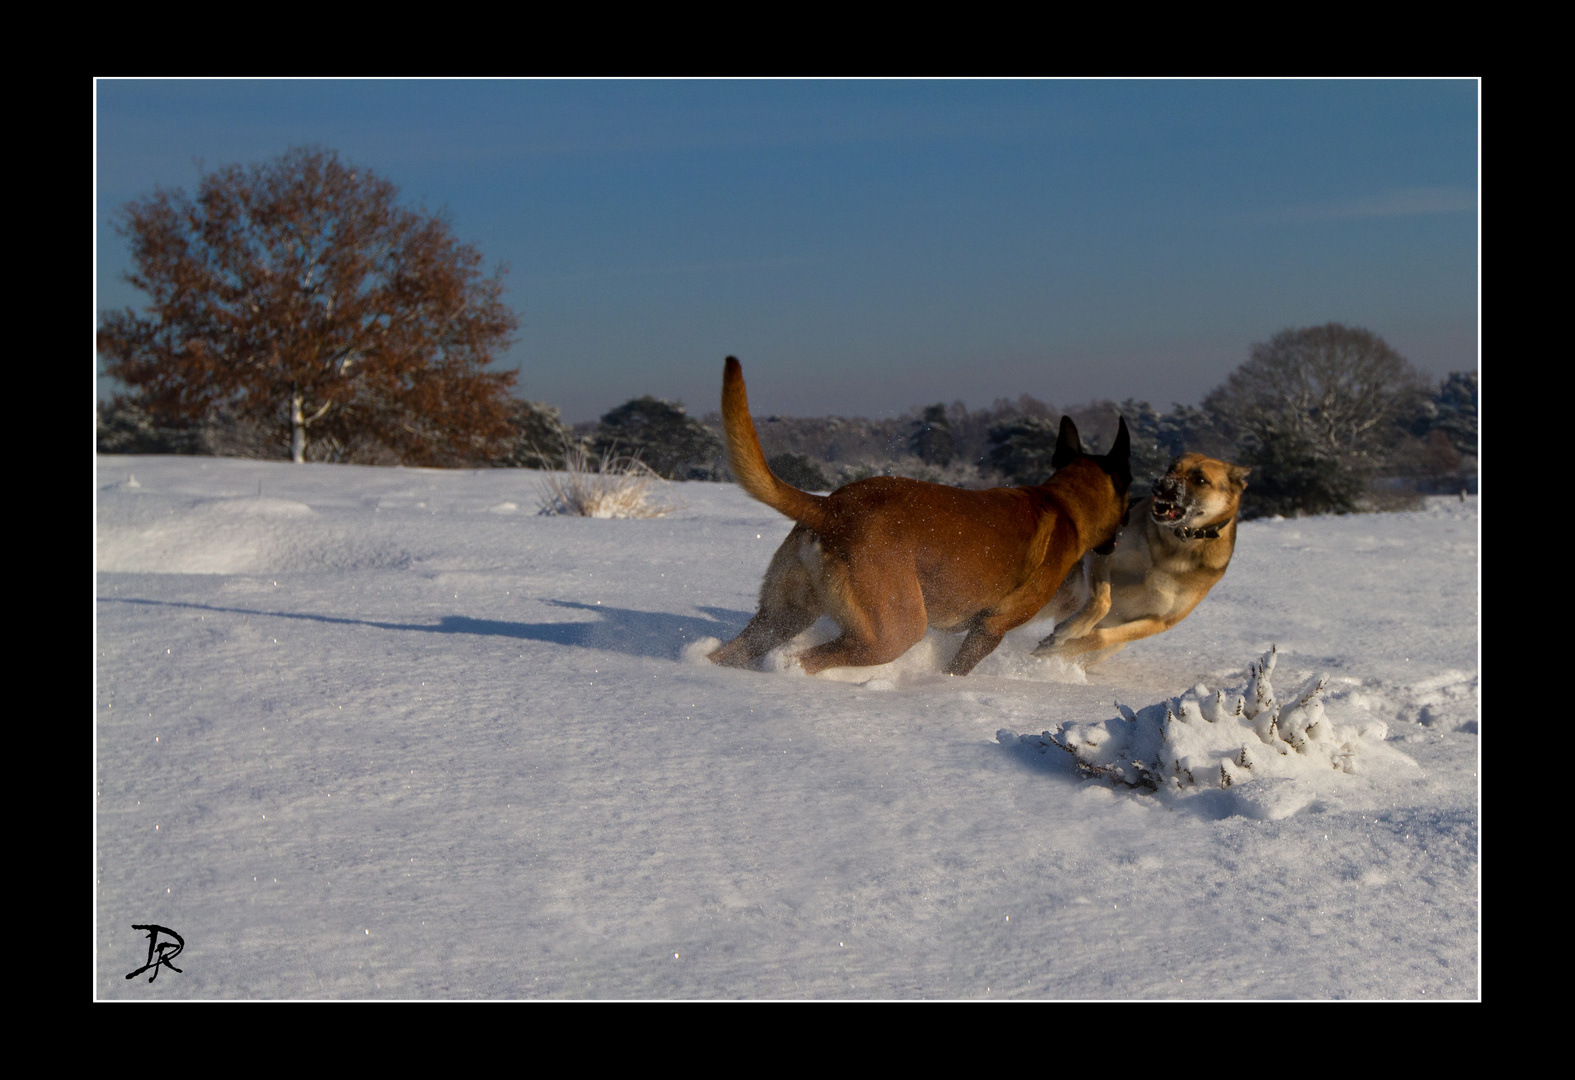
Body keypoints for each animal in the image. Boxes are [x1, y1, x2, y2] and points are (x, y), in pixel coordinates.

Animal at [711, 357, 1134, 676]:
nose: (1118, 542)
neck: (1065, 502)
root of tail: (831, 508)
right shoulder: (989, 628)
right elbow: (957, 668)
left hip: (782, 616)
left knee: (732, 652)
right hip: (893, 632)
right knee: (802, 661)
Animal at [1039, 450, 1247, 667]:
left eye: (1200, 480)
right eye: (1172, 468)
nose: (1160, 483)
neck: (1176, 548)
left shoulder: (1159, 622)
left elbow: (1101, 638)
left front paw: (1061, 644)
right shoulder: (1102, 554)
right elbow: (1102, 601)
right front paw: (1067, 632)